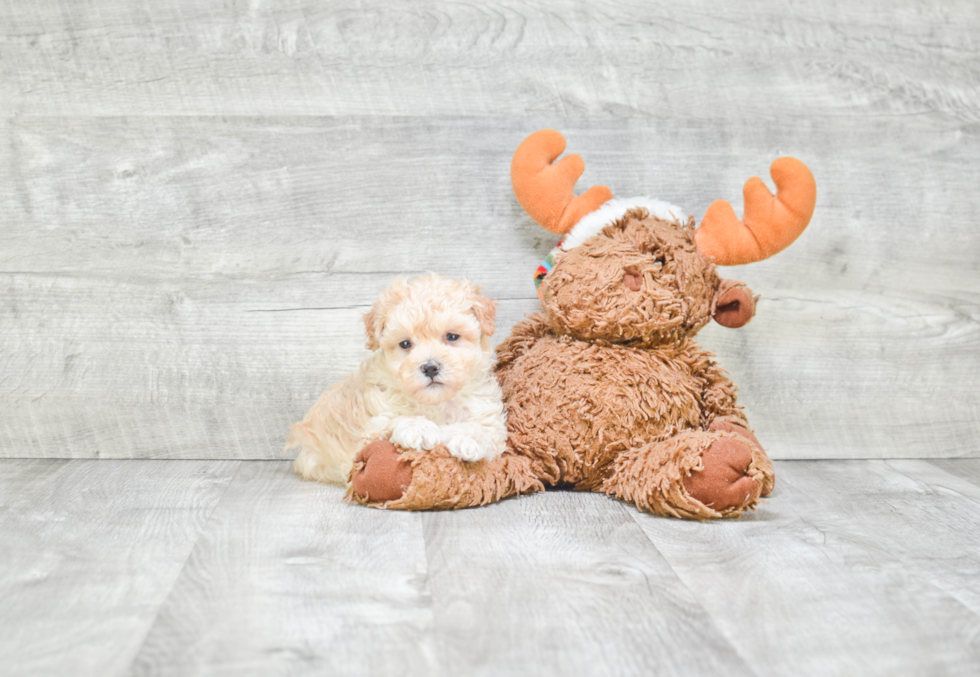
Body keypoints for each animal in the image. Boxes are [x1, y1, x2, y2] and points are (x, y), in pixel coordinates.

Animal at [286, 272, 506, 484]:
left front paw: (468, 439)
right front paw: (418, 427)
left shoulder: (491, 421)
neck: (435, 402)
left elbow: (485, 431)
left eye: (452, 337)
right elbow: (390, 420)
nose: (430, 367)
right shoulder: (369, 426)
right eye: (405, 344)